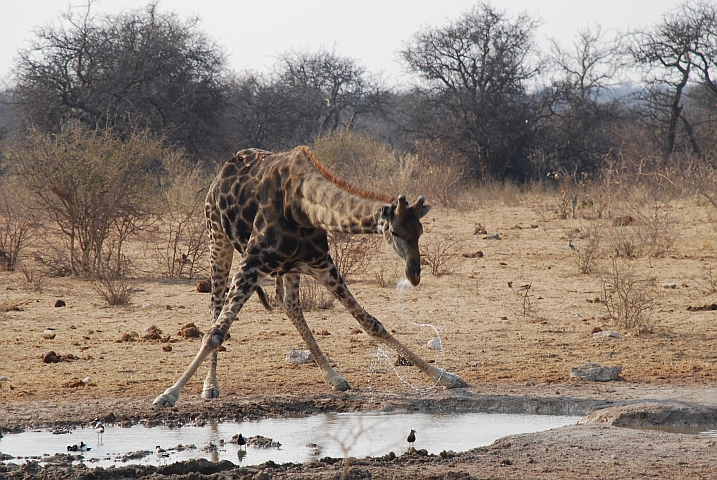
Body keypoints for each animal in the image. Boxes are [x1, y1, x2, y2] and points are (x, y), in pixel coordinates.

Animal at [152, 147, 468, 408]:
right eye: (395, 231)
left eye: (420, 231)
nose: (414, 274)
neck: (301, 207)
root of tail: (221, 173)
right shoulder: (252, 263)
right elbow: (215, 333)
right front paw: (168, 394)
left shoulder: (321, 263)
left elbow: (370, 323)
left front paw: (446, 377)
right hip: (217, 238)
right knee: (216, 306)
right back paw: (210, 386)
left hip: (287, 268)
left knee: (290, 305)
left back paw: (335, 378)